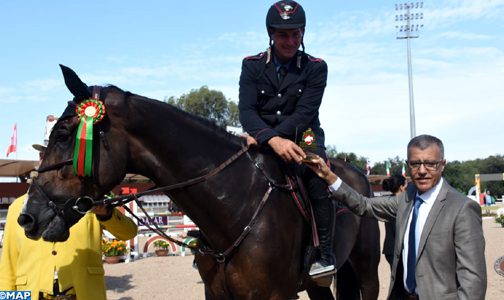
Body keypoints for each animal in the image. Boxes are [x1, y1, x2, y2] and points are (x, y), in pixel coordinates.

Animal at [19, 66, 378, 300]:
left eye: (63, 135)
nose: (28, 217)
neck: (238, 203)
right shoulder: (217, 294)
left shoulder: (275, 296)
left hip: (366, 269)